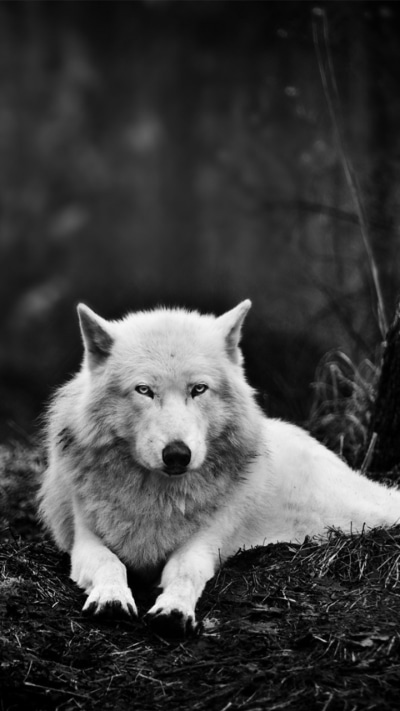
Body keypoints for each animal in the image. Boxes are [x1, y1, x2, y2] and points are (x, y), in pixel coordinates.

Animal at [39, 300, 400, 637]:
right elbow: (109, 563)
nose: (177, 454)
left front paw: (173, 610)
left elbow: (185, 571)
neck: (156, 498)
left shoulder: (205, 542)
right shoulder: (84, 539)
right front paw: (112, 598)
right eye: (144, 390)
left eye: (198, 389)